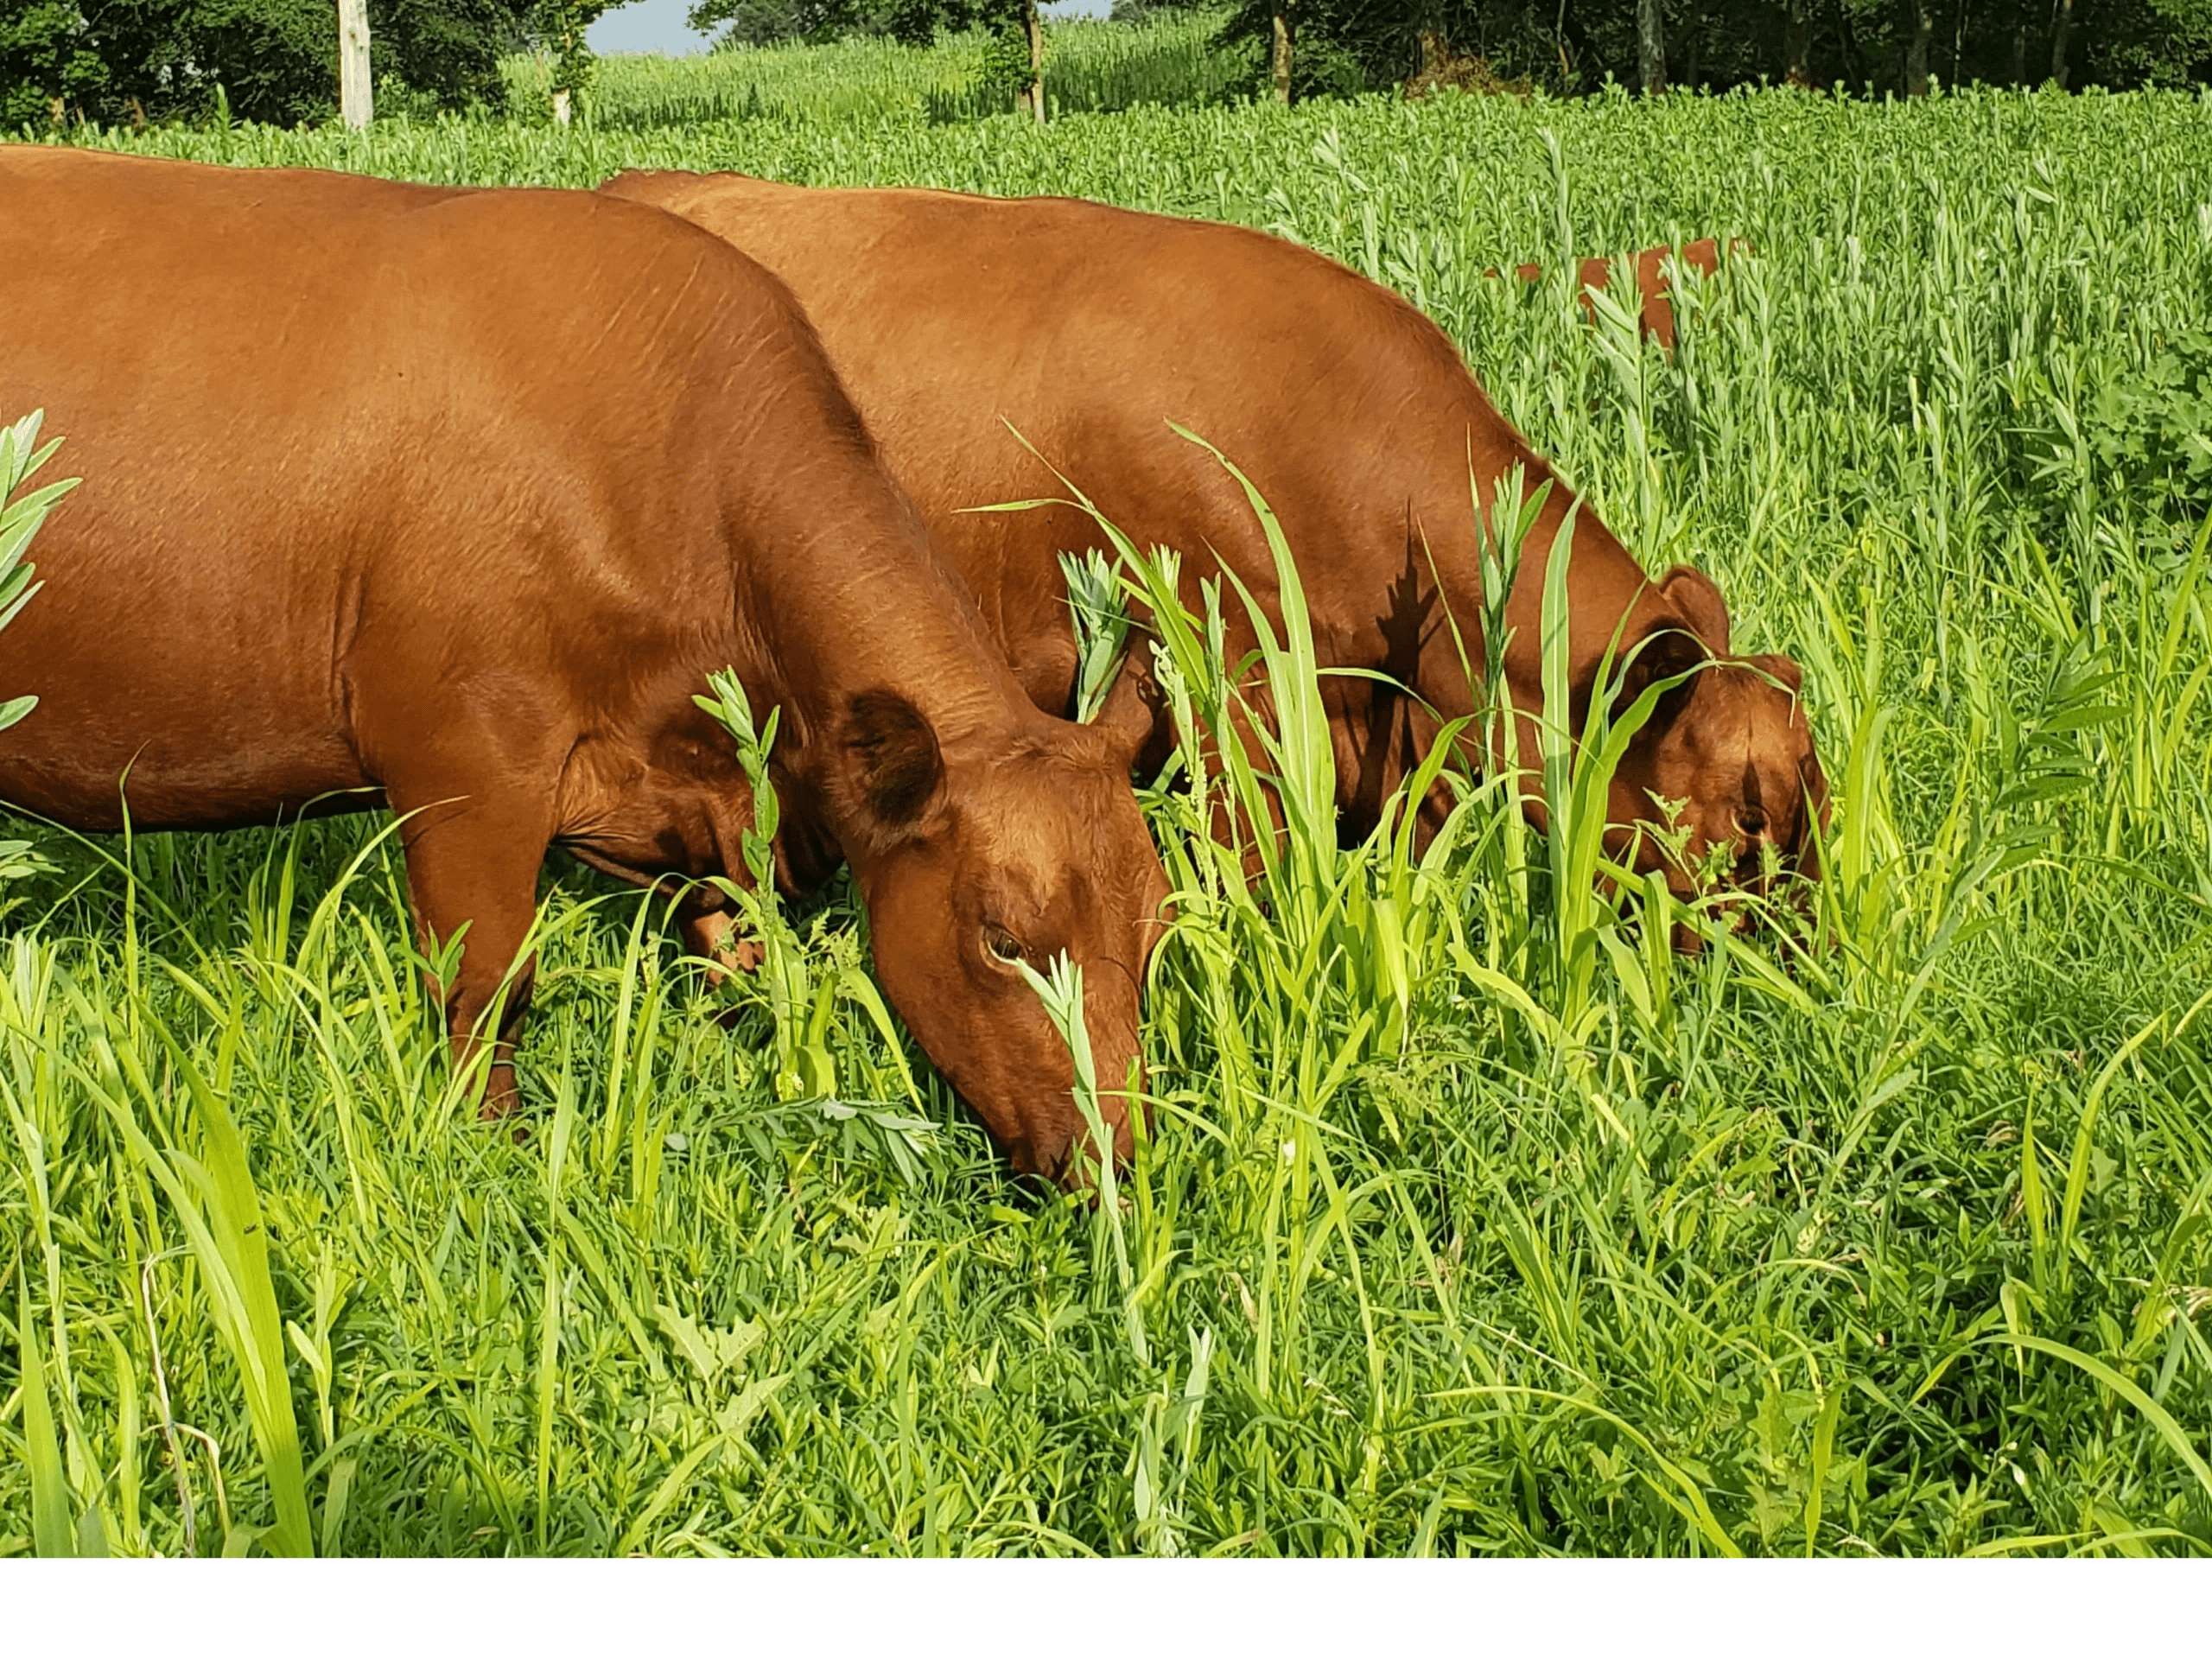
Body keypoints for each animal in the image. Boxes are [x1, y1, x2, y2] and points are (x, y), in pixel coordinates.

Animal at [0, 149, 1170, 1183]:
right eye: (1003, 940)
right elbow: (487, 985)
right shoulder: (466, 765)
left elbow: (730, 947)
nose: (1113, 1159)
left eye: (1156, 925)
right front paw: (488, 1155)